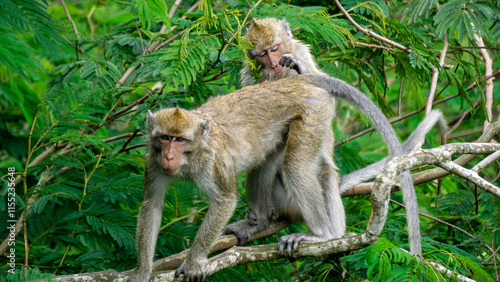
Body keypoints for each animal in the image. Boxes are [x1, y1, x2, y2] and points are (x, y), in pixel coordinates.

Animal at [131, 73, 444, 282]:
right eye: (164, 138)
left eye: (180, 140)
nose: (169, 156)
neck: (192, 156)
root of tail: (293, 82)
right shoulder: (152, 160)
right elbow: (151, 204)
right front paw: (144, 270)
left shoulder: (213, 161)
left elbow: (224, 200)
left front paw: (194, 261)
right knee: (267, 160)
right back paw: (257, 223)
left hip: (313, 110)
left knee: (295, 165)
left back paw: (322, 235)